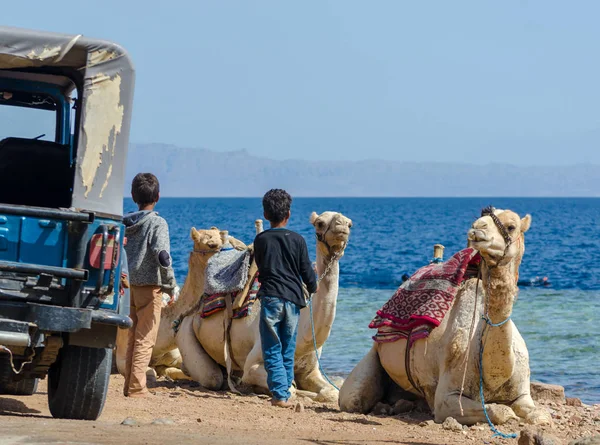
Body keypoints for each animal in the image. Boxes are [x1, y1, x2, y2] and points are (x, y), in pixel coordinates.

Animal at [175, 210, 352, 400]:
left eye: (350, 224)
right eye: (320, 223)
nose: (342, 226)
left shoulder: (310, 371)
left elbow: (332, 392)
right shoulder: (253, 364)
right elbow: (289, 388)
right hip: (185, 334)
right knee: (212, 377)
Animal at [340, 206, 552, 424]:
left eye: (511, 226)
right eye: (480, 217)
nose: (477, 228)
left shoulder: (523, 394)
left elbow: (540, 415)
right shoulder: (446, 398)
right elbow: (501, 412)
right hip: (371, 359)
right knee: (353, 398)